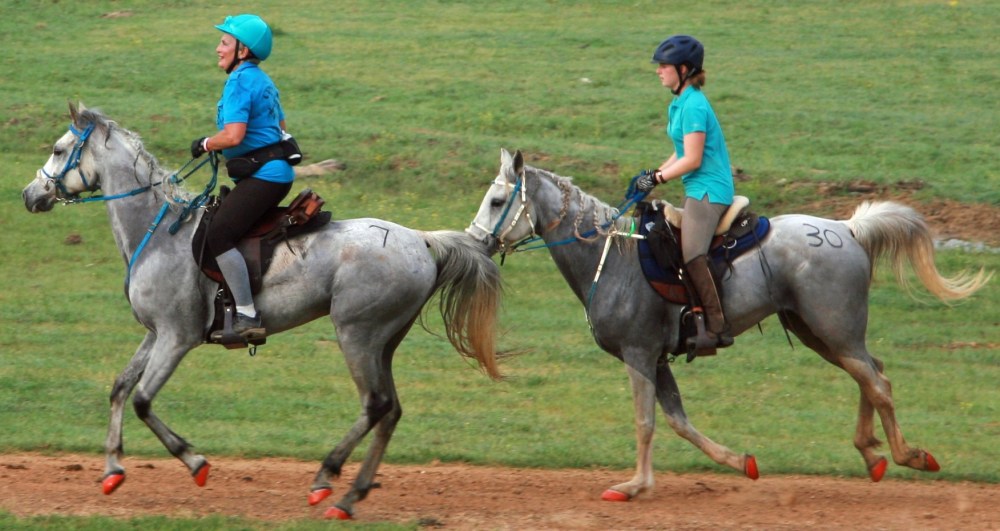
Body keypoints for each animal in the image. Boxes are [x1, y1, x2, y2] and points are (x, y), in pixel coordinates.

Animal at [21, 102, 504, 520]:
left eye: (59, 150)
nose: (29, 195)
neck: (159, 233)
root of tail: (420, 240)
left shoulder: (177, 338)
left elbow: (142, 400)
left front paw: (194, 462)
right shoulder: (155, 334)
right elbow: (121, 388)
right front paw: (112, 470)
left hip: (357, 334)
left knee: (376, 404)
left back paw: (326, 478)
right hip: (385, 341)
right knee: (391, 412)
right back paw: (350, 497)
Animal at [466, 148, 991, 501]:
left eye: (496, 200)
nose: (475, 242)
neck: (610, 256)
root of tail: (847, 229)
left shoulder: (638, 355)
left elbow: (646, 421)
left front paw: (635, 485)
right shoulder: (658, 359)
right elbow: (678, 421)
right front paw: (739, 462)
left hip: (834, 330)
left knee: (878, 382)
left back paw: (909, 455)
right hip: (820, 332)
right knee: (870, 372)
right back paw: (872, 453)